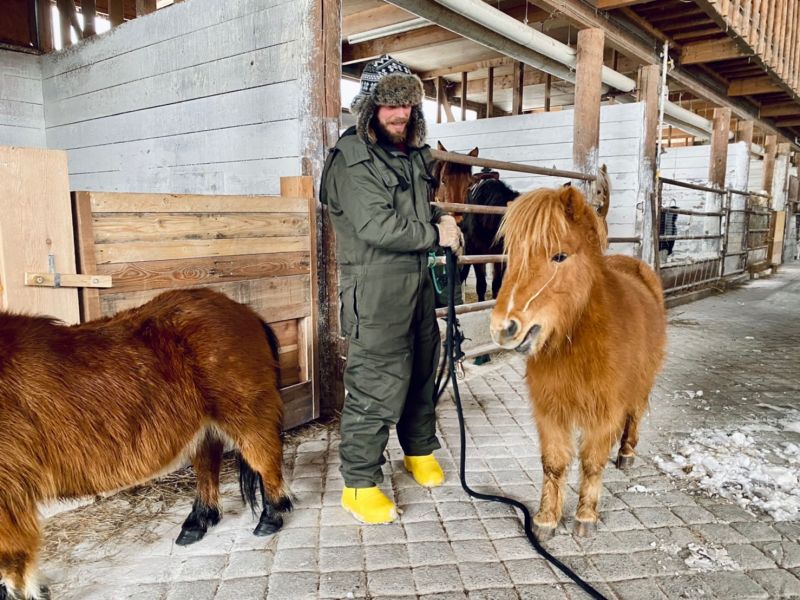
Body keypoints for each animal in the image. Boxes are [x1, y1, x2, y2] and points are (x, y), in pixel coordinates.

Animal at [0, 288, 292, 596]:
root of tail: (244, 310)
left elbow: (12, 564)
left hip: (246, 413)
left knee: (264, 458)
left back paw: (270, 518)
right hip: (205, 426)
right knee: (208, 465)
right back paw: (198, 522)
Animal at [490, 184, 664, 540]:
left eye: (559, 256)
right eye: (513, 255)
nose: (504, 328)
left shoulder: (604, 412)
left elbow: (592, 463)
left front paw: (585, 517)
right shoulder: (551, 411)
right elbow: (554, 464)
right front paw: (545, 520)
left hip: (642, 385)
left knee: (634, 416)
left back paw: (626, 454)